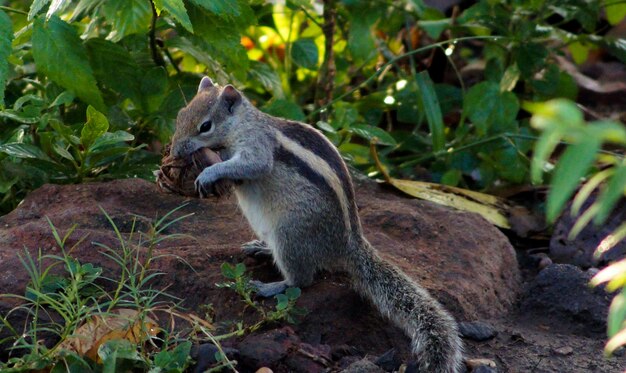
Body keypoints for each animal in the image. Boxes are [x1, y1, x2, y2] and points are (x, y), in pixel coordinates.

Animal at [168, 77, 460, 370]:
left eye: (205, 126)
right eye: (180, 115)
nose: (174, 151)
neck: (242, 122)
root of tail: (347, 243)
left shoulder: (257, 145)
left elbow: (254, 165)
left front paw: (208, 173)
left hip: (290, 234)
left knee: (302, 280)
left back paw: (270, 286)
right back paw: (262, 249)